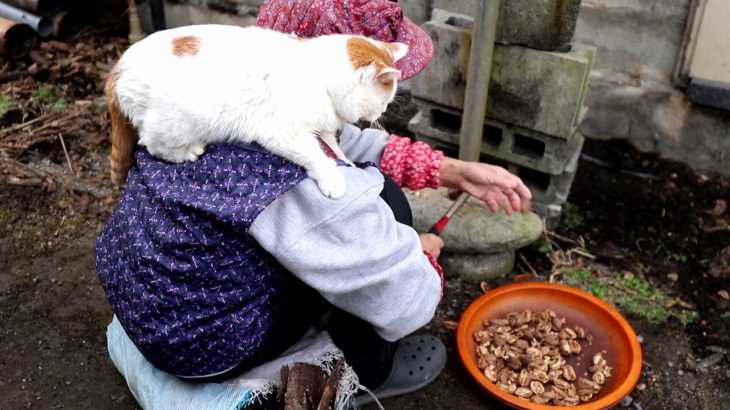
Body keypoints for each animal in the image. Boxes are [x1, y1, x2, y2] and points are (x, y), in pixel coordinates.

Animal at [105, 24, 406, 199]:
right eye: (385, 101)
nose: (380, 114)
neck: (319, 77)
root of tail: (118, 67)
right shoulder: (283, 133)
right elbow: (318, 156)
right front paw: (333, 178)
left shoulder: (324, 128)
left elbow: (334, 149)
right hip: (175, 123)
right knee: (152, 145)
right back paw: (188, 151)